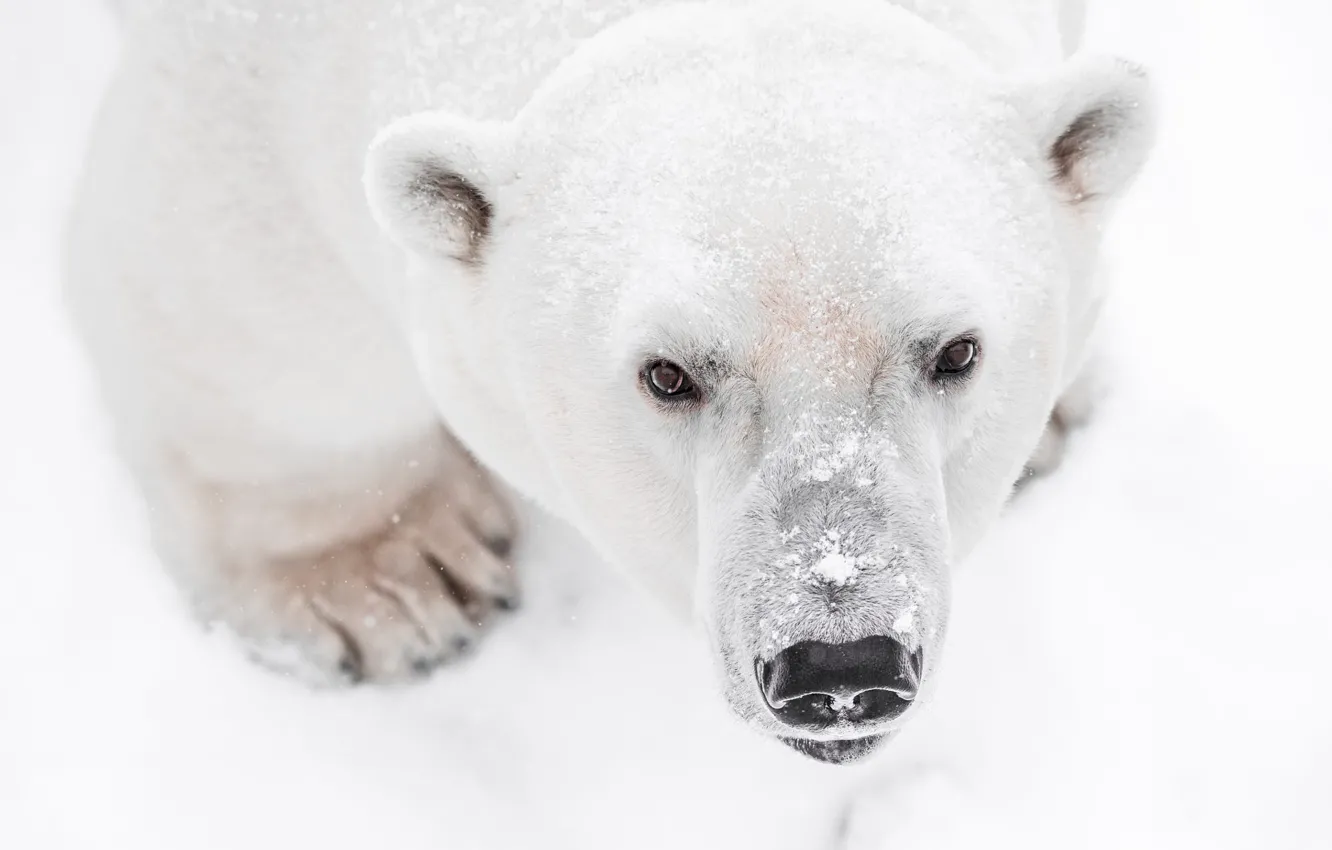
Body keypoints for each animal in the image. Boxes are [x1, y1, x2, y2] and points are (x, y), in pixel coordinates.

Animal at [64, 0, 1153, 764]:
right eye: (667, 374)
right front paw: (389, 582)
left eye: (956, 352)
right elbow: (248, 305)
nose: (843, 666)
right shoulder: (242, 76)